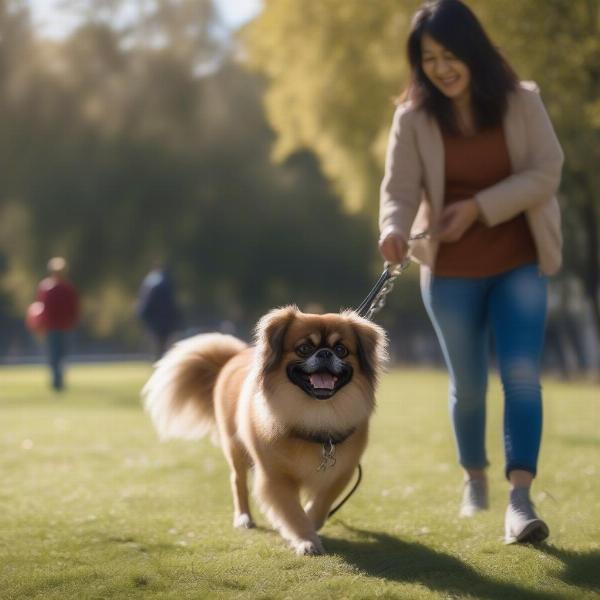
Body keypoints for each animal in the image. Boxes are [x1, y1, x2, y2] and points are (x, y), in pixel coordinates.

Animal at [142, 304, 386, 552]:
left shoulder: (341, 473)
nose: (326, 353)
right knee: (238, 481)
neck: (316, 412)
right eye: (304, 348)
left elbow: (320, 504)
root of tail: (233, 357)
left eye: (341, 349)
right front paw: (306, 540)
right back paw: (243, 518)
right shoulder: (275, 477)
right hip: (234, 448)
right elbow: (292, 512)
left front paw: (312, 523)